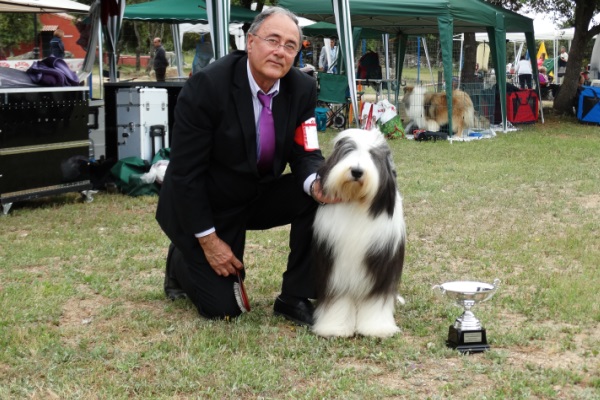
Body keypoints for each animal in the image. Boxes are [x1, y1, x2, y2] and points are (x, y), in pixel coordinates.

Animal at [312, 128, 406, 338]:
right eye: (349, 150)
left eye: (373, 155)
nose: (356, 171)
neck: (356, 201)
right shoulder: (335, 266)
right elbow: (338, 299)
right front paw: (335, 327)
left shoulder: (381, 265)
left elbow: (375, 302)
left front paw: (376, 328)